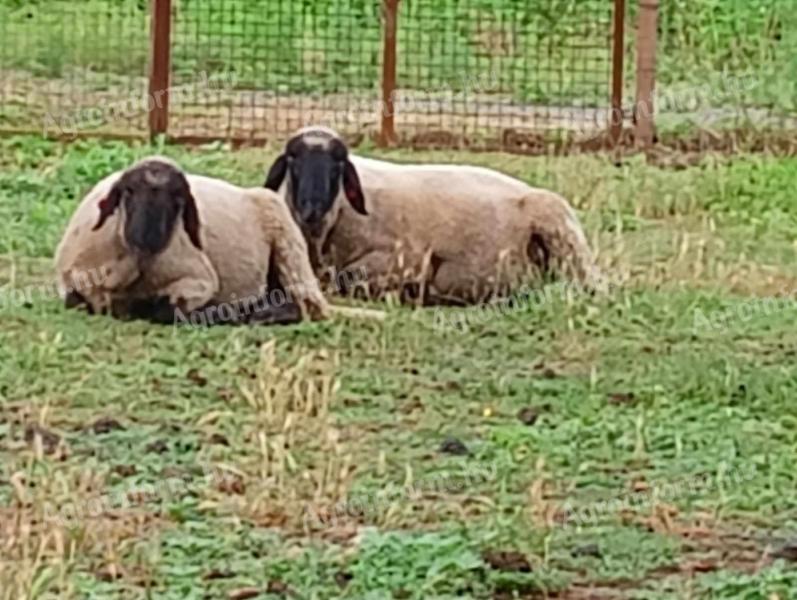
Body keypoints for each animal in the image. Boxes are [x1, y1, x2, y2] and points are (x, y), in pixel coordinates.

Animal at [53, 155, 330, 324]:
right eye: (128, 192)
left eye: (179, 200)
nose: (149, 239)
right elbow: (78, 302)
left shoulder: (200, 278)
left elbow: (165, 309)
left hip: (289, 247)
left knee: (306, 305)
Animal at [264, 125, 600, 304]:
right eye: (292, 160)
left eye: (338, 165)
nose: (311, 209)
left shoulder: (406, 257)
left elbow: (349, 279)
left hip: (563, 234)